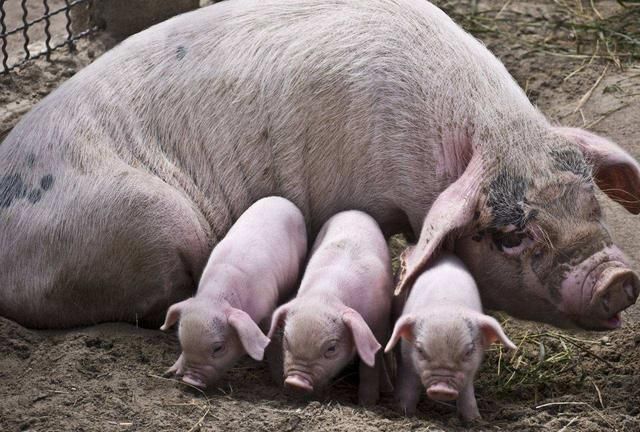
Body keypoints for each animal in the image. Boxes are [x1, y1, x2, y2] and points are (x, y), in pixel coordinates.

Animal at [158, 197, 304, 390]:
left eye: (218, 348)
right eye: (183, 343)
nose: (190, 380)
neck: (217, 298)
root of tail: (280, 199)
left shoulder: (267, 308)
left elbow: (269, 335)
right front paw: (169, 371)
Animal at [268, 211, 392, 406]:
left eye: (331, 349)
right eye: (286, 341)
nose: (295, 382)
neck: (326, 296)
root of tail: (353, 211)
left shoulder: (379, 322)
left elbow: (371, 364)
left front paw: (367, 403)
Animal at [384, 251, 516, 420]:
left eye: (468, 352)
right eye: (420, 350)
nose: (442, 388)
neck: (445, 303)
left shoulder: (470, 369)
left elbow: (466, 391)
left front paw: (474, 420)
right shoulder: (407, 360)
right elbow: (409, 386)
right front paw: (404, 412)